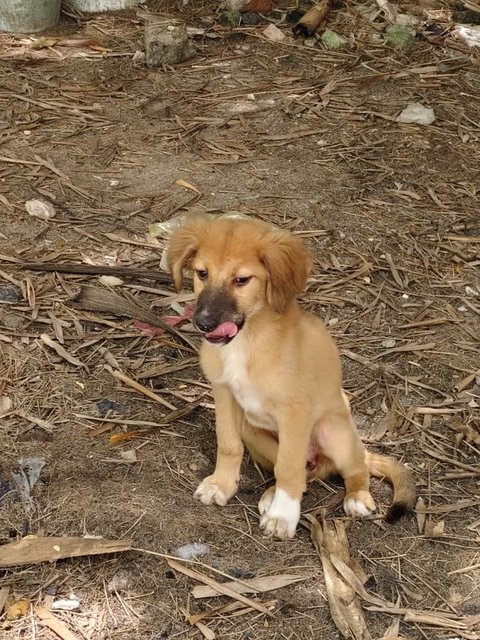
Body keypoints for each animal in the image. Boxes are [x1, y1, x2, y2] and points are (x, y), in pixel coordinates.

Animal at [170, 216, 416, 540]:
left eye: (242, 280)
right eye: (202, 273)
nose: (204, 322)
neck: (248, 341)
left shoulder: (295, 411)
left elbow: (288, 467)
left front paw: (283, 516)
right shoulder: (224, 394)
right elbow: (229, 444)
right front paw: (221, 484)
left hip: (333, 432)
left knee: (352, 467)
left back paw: (356, 497)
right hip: (254, 432)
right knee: (305, 473)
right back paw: (271, 494)